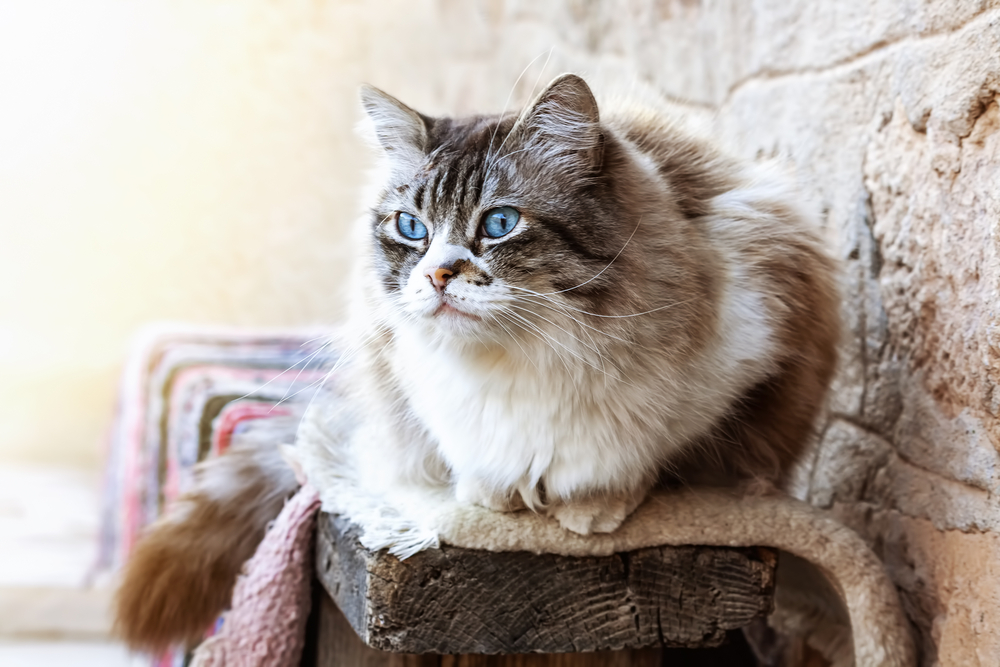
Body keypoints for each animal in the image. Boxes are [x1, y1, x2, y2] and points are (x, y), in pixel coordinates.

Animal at [113, 74, 840, 652]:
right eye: (411, 228)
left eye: (498, 224)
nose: (438, 274)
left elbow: (639, 459)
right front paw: (495, 498)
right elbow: (481, 464)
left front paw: (591, 509)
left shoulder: (740, 351)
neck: (519, 357)